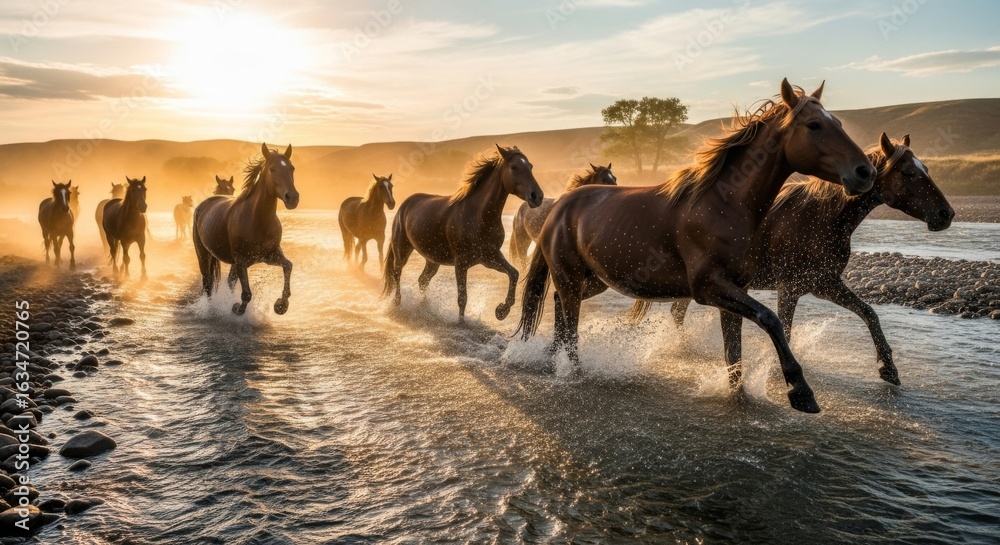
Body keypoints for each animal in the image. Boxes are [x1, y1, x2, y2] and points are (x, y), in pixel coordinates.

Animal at [193, 143, 299, 315]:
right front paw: (236, 308)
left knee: (229, 281)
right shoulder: (241, 261)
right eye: (272, 169)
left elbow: (288, 265)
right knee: (208, 283)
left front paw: (281, 305)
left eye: (292, 168)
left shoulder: (271, 255)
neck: (258, 221)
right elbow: (247, 294)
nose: (292, 198)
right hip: (203, 255)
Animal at [383, 144, 544, 321]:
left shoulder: (490, 257)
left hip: (432, 260)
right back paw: (397, 304)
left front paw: (502, 310)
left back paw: (425, 307)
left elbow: (514, 273)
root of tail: (405, 204)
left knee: (422, 280)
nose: (537, 196)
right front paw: (461, 322)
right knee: (397, 273)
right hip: (402, 250)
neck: (478, 215)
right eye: (514, 167)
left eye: (530, 166)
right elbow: (462, 298)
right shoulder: (461, 263)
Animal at [516, 79, 875, 414]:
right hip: (570, 276)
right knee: (570, 322)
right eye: (814, 125)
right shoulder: (709, 287)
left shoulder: (735, 288)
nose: (865, 172)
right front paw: (800, 391)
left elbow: (734, 352)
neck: (723, 204)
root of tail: (560, 205)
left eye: (838, 122)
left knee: (560, 306)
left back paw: (553, 358)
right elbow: (770, 319)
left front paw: (739, 396)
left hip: (591, 281)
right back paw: (573, 371)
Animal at [654, 132, 954, 386]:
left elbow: (869, 313)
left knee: (677, 312)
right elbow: (784, 330)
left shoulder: (823, 284)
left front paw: (888, 368)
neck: (823, 217)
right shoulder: (790, 289)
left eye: (925, 170)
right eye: (909, 172)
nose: (946, 214)